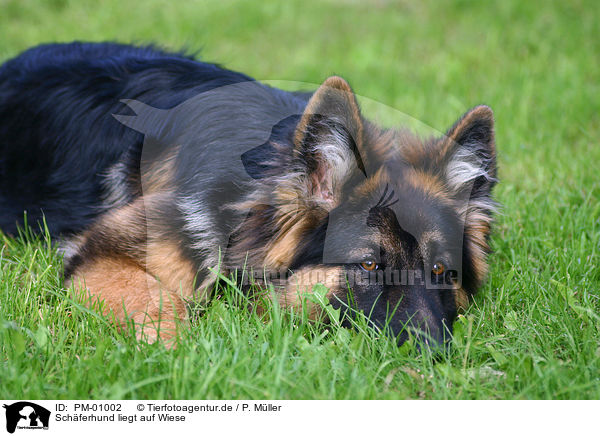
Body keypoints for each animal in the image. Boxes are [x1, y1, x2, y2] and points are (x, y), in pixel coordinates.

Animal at [0, 41, 496, 348]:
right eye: (369, 265)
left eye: (442, 270)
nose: (434, 359)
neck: (249, 198)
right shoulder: (101, 253)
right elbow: (158, 299)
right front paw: (181, 353)